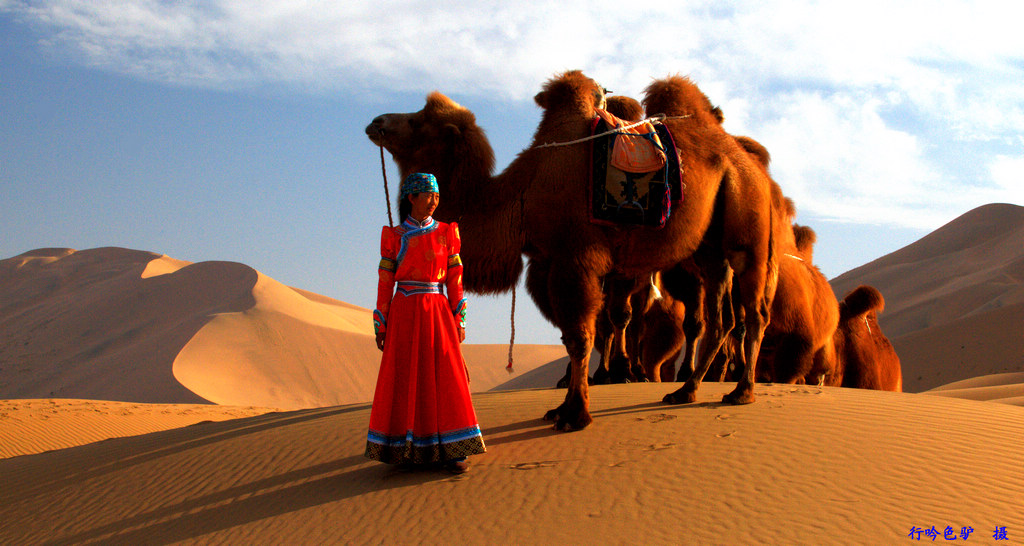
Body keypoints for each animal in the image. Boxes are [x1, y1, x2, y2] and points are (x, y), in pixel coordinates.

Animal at [368, 71, 774, 430]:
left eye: (419, 122)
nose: (375, 122)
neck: (522, 195)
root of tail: (743, 157)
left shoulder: (576, 257)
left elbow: (580, 336)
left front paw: (575, 415)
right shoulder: (548, 261)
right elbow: (569, 336)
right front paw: (561, 407)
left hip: (747, 222)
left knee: (755, 311)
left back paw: (741, 392)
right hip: (709, 246)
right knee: (720, 317)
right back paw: (686, 391)